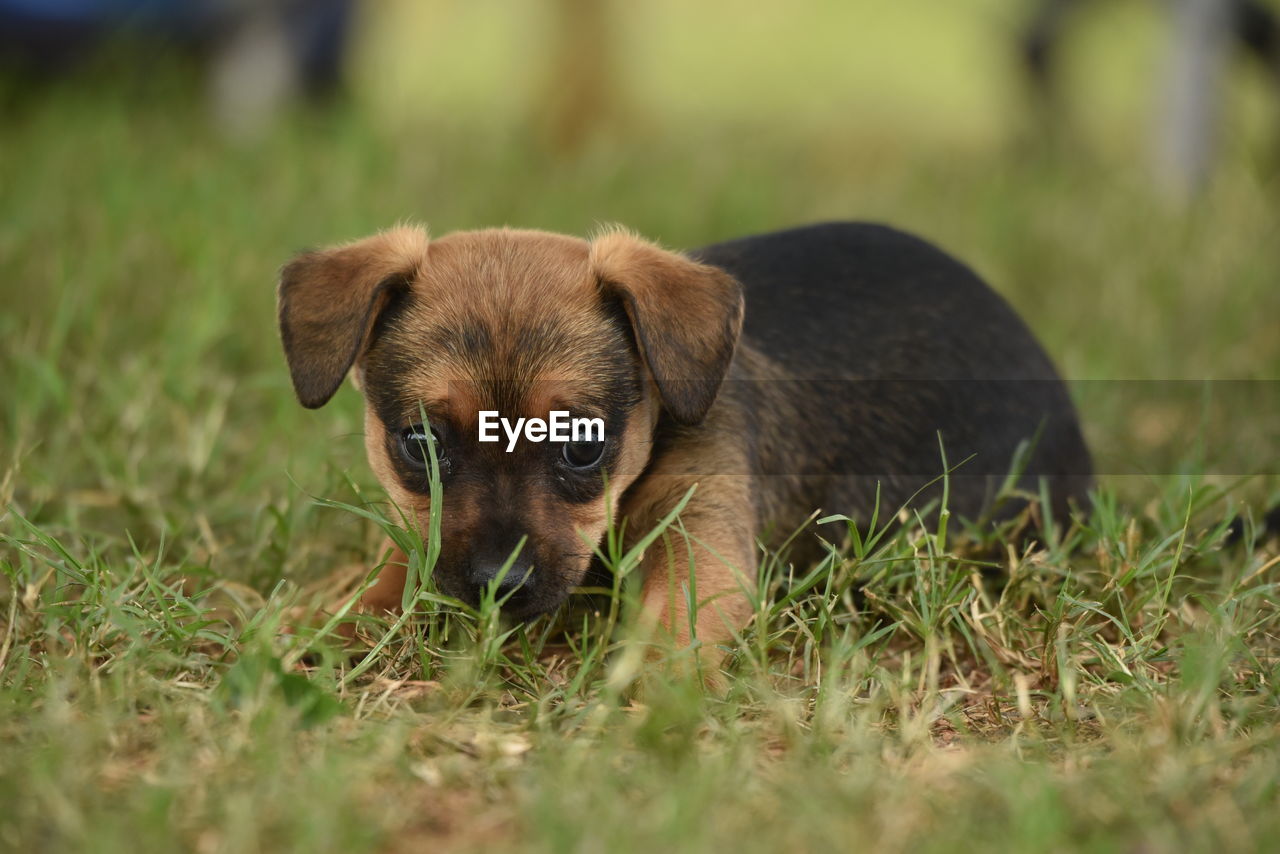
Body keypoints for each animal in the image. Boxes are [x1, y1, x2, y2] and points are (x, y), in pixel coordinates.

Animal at [277, 220, 1090, 655]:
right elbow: (388, 579)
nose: (497, 587)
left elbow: (677, 623)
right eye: (419, 444)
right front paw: (317, 625)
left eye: (583, 445)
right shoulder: (420, 537)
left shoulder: (705, 538)